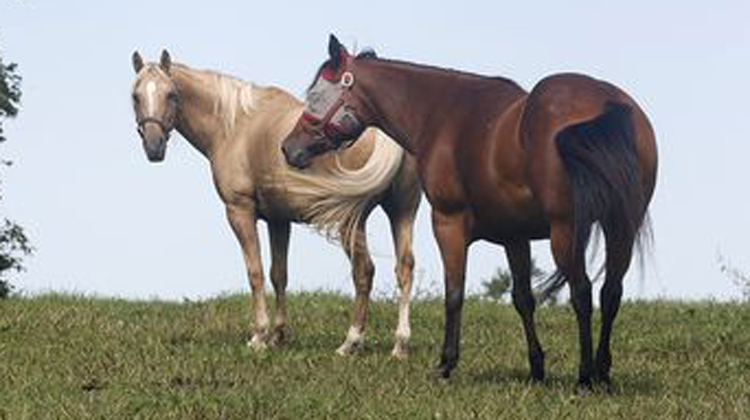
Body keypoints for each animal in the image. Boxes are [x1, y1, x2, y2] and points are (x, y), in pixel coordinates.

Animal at [130, 49, 424, 358]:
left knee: (364, 271)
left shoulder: (240, 212)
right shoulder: (278, 219)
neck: (235, 125)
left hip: (351, 223)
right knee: (405, 268)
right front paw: (278, 335)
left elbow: (256, 272)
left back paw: (350, 342)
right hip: (402, 212)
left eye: (171, 94)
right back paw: (400, 344)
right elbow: (278, 274)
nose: (154, 146)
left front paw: (259, 336)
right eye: (136, 96)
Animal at [284, 36, 660, 390]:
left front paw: (445, 365)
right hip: (620, 228)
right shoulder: (515, 237)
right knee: (610, 293)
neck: (441, 114)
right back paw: (603, 374)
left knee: (582, 293)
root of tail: (606, 102)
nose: (288, 148)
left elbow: (454, 294)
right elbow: (523, 298)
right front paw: (536, 369)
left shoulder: (448, 223)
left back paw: (584, 377)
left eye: (314, 95)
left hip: (566, 231)